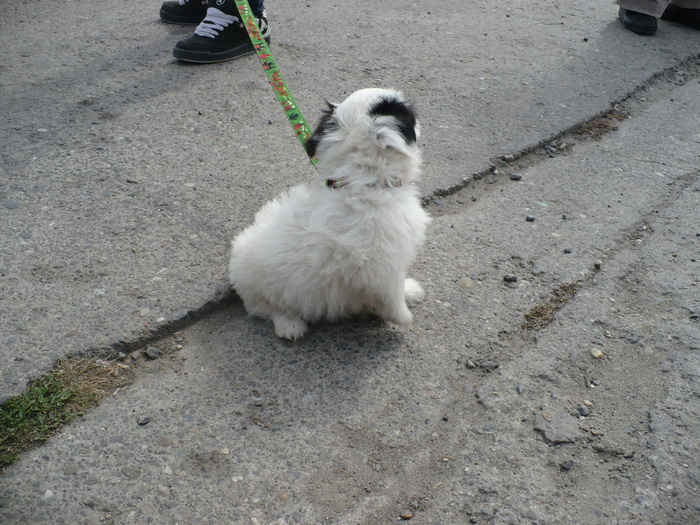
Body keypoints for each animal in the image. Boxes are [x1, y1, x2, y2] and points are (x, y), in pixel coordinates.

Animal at [227, 87, 430, 338]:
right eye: (409, 115)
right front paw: (403, 317)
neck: (365, 183)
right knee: (266, 308)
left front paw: (410, 290)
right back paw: (289, 325)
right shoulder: (384, 265)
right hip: (263, 289)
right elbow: (392, 296)